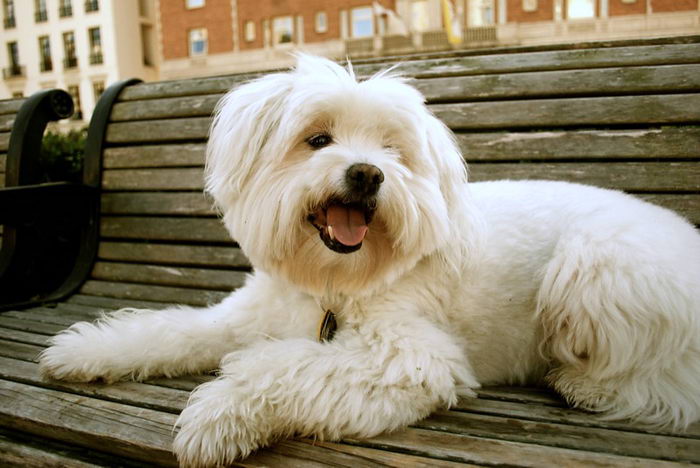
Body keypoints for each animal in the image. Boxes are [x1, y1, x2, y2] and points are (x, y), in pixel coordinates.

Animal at [39, 54, 700, 464]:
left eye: (393, 150)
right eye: (317, 138)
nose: (367, 172)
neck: (334, 283)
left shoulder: (411, 360)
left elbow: (285, 368)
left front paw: (218, 415)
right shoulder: (249, 315)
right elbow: (175, 329)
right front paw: (89, 351)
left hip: (595, 263)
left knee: (664, 385)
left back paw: (580, 384)